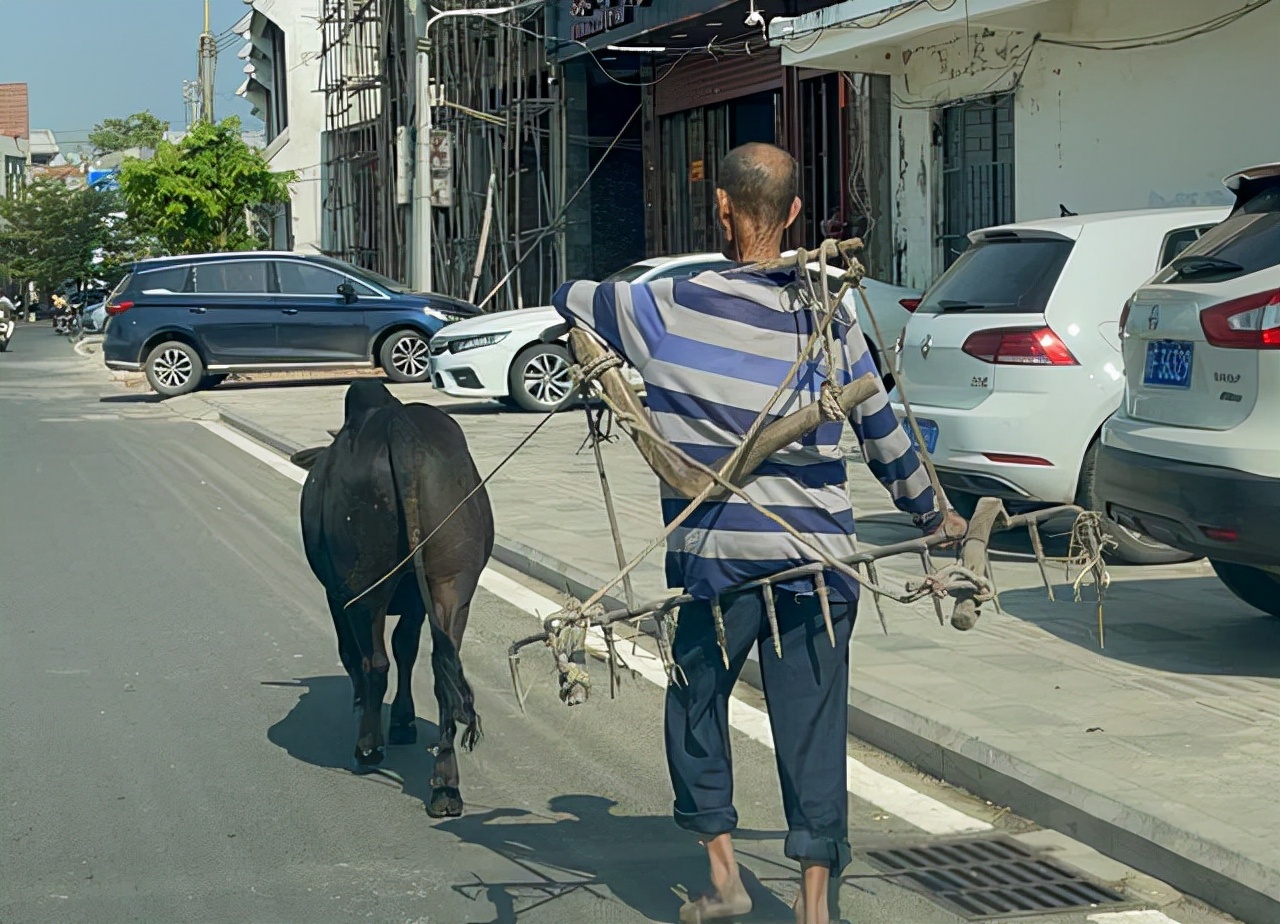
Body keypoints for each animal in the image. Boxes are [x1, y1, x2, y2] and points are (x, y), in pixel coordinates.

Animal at [291, 376, 494, 813]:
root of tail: (401, 428)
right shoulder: (419, 604)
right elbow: (408, 648)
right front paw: (403, 719)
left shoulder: (337, 595)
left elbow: (356, 652)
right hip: (453, 583)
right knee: (443, 670)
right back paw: (445, 785)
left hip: (365, 585)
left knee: (375, 662)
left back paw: (368, 747)